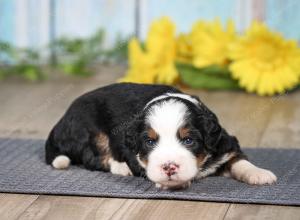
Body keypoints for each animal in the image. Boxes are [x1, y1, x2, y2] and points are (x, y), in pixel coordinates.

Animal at [45, 82, 278, 189]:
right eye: (149, 142)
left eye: (188, 140)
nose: (169, 167)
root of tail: (60, 122)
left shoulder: (224, 144)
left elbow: (239, 160)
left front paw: (259, 174)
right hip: (88, 129)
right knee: (91, 157)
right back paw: (120, 167)